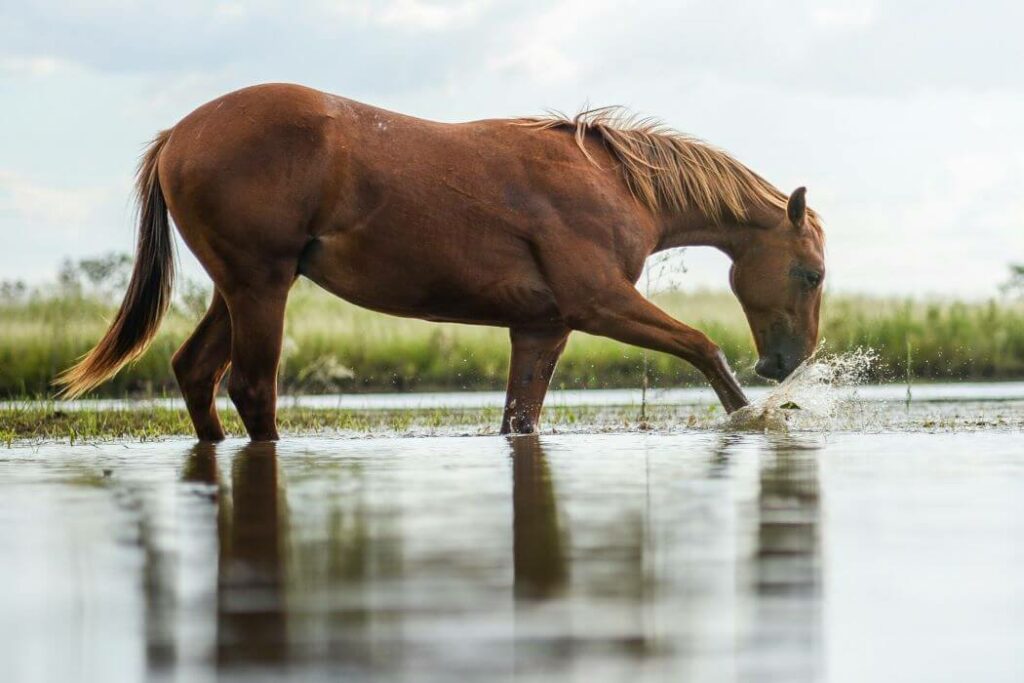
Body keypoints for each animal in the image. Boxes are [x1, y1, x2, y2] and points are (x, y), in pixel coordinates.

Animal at [54, 82, 823, 444]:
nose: (787, 363)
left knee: (195, 373)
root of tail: (178, 135)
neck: (614, 181)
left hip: (238, 289)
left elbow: (520, 419)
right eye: (811, 274)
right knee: (250, 387)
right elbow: (702, 346)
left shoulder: (542, 327)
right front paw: (757, 416)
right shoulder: (600, 304)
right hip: (259, 287)